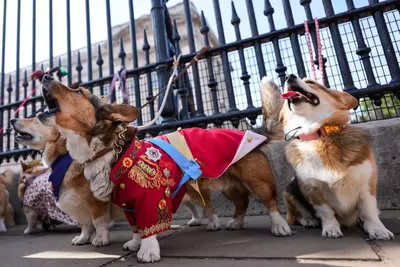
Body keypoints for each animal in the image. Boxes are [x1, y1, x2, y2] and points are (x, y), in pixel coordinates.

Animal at [11, 117, 124, 247]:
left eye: (37, 118)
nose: (12, 120)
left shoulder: (95, 201)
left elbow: (99, 222)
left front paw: (101, 239)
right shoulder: (79, 204)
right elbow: (85, 224)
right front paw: (82, 238)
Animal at [36, 74, 290, 262]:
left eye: (79, 92)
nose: (45, 75)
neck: (109, 149)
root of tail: (253, 132)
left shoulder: (149, 198)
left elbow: (147, 225)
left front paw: (147, 251)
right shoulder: (128, 204)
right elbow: (136, 227)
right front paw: (135, 243)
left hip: (256, 180)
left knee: (270, 202)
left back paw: (280, 227)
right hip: (229, 184)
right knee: (241, 202)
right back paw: (236, 223)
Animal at [260, 74, 394, 242]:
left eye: (310, 82)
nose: (288, 76)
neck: (318, 134)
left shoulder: (367, 185)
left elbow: (369, 210)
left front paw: (378, 230)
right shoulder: (313, 190)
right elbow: (326, 212)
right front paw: (331, 229)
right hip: (289, 192)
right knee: (296, 216)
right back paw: (309, 220)